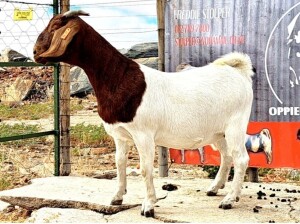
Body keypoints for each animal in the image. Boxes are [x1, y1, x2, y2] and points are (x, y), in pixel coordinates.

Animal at [34, 10, 255, 217]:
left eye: (55, 26)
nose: (35, 52)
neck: (119, 78)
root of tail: (238, 72)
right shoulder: (120, 136)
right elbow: (119, 163)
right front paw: (117, 197)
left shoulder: (143, 135)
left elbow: (145, 168)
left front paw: (148, 206)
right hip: (218, 132)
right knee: (226, 156)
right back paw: (215, 189)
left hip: (236, 125)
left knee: (241, 158)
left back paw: (229, 199)